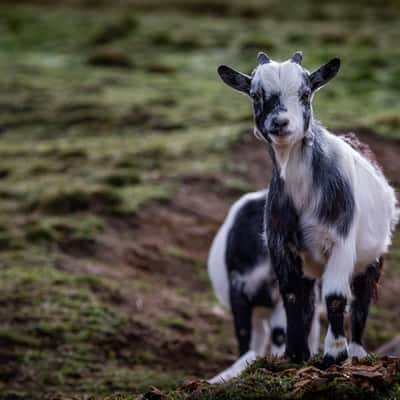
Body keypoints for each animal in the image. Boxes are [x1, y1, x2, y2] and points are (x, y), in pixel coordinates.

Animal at [217, 51, 398, 368]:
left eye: (305, 93)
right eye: (255, 94)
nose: (280, 122)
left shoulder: (341, 241)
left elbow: (336, 296)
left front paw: (334, 355)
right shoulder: (282, 246)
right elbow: (292, 297)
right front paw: (295, 354)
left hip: (372, 256)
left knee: (361, 298)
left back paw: (357, 350)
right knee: (310, 302)